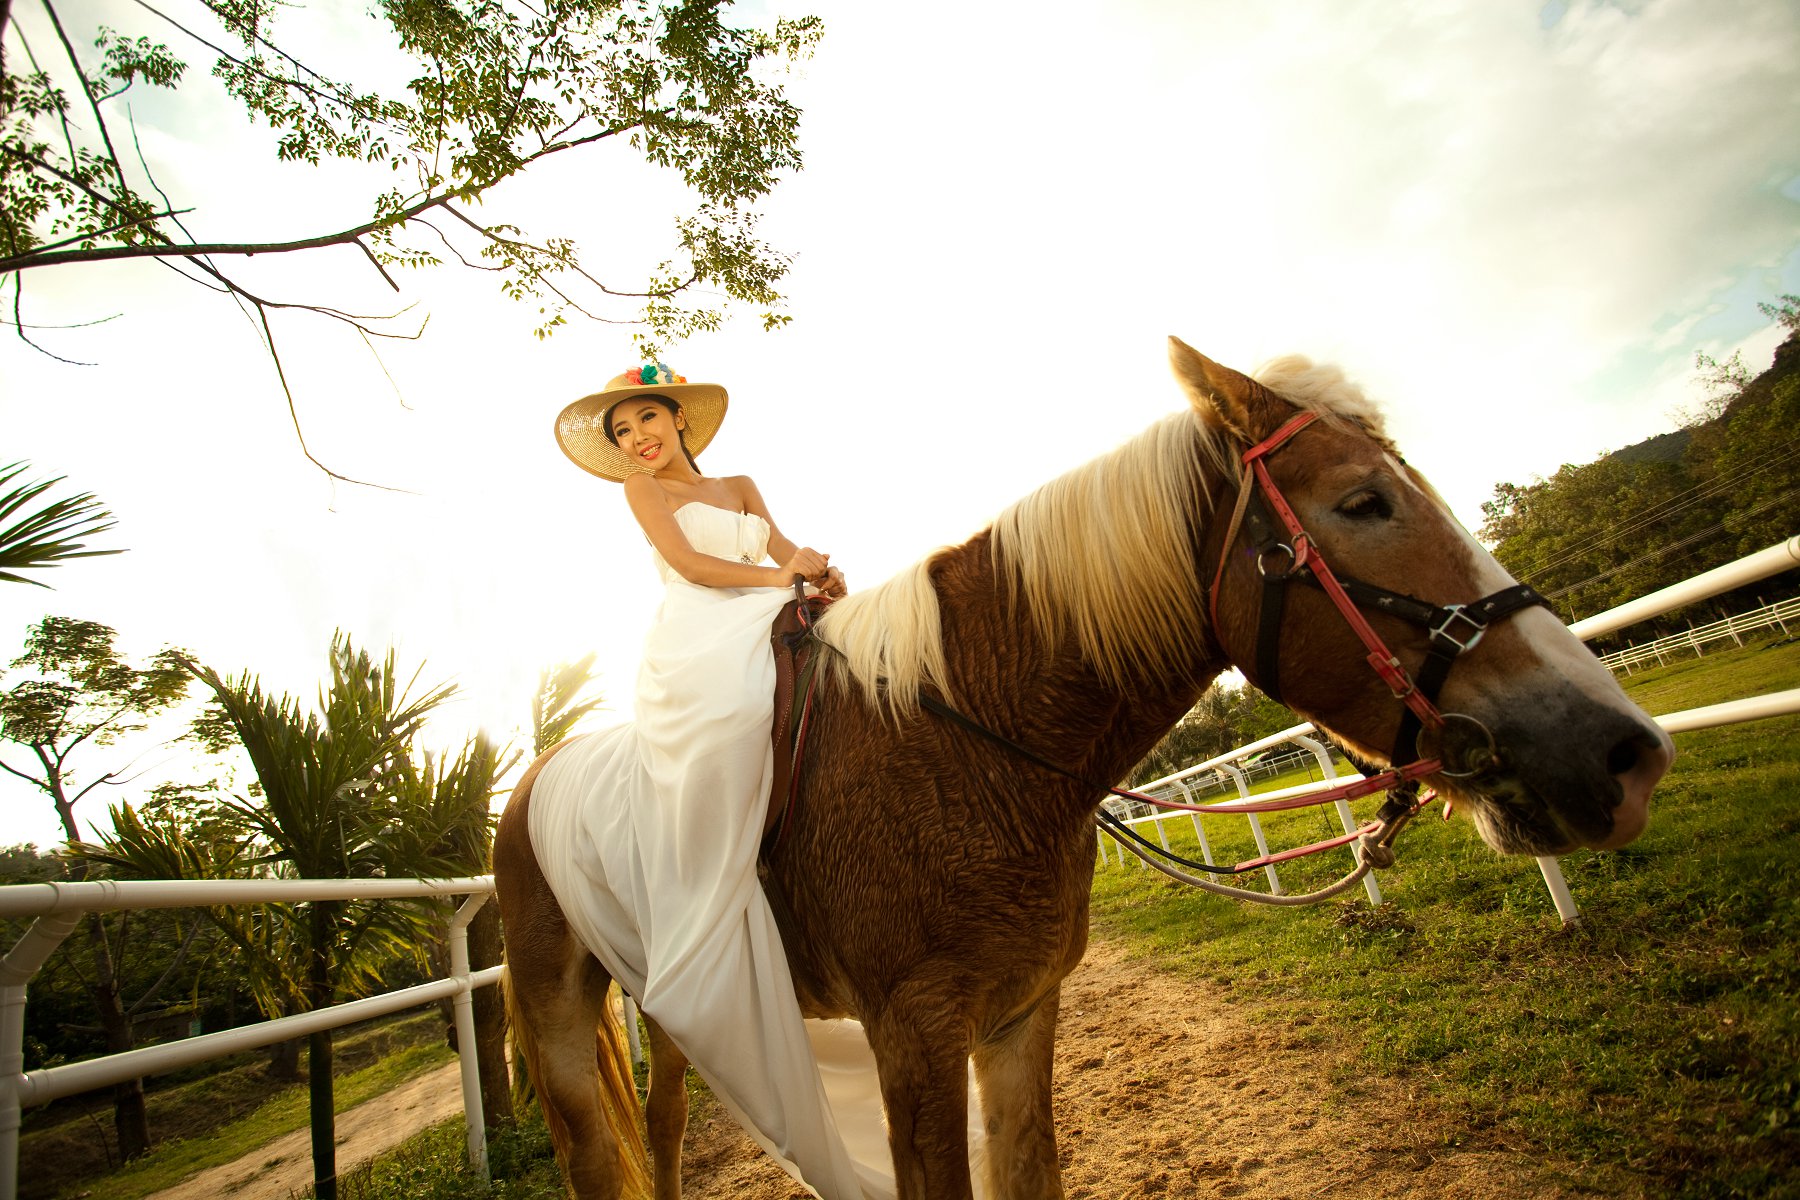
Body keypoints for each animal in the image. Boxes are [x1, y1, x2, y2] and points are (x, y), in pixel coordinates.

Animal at [496, 340, 1670, 1200]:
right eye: (1363, 502)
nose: (1624, 753)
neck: (965, 740)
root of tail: (534, 781)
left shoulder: (1021, 1015)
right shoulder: (914, 1040)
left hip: (675, 1017)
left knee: (663, 1126)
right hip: (562, 1034)